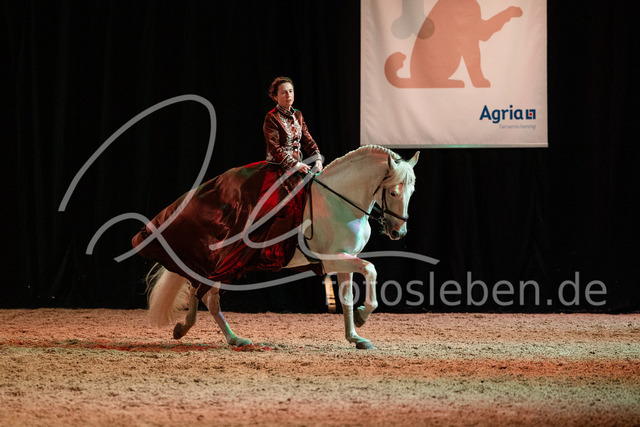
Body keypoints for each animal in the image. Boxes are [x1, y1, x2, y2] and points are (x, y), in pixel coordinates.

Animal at [145, 145, 420, 349]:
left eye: (412, 191)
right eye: (393, 193)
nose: (399, 232)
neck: (340, 202)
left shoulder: (347, 258)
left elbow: (347, 299)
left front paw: (356, 336)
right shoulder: (332, 258)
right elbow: (371, 269)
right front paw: (363, 317)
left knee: (198, 290)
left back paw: (192, 330)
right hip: (221, 263)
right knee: (207, 297)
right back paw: (230, 338)